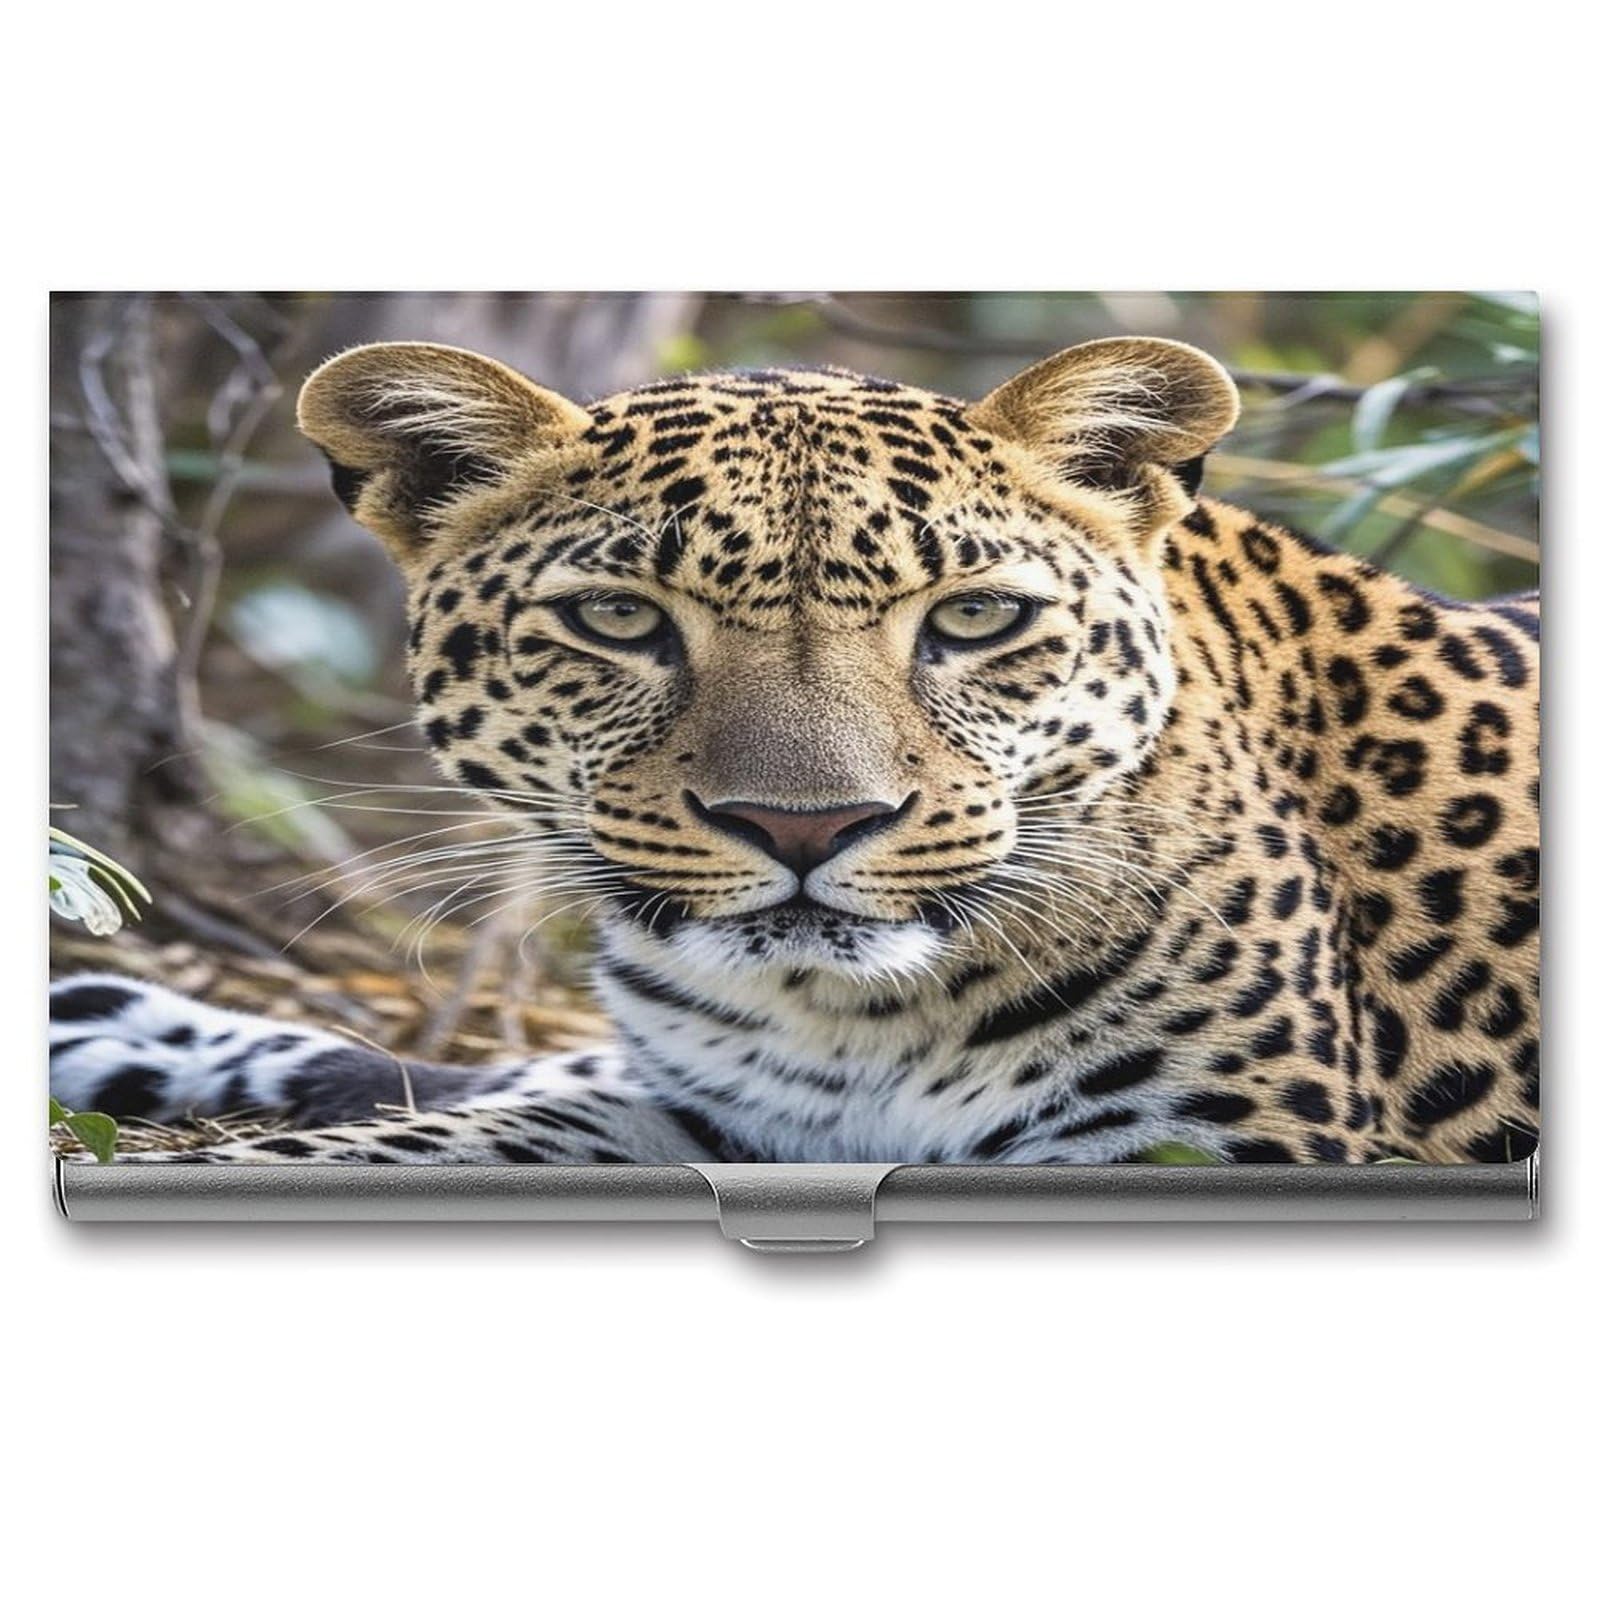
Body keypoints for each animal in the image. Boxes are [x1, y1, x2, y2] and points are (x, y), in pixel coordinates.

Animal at [50, 335, 1540, 1167]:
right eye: (617, 618)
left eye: (976, 618)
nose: (805, 830)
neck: (849, 1024)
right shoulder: (705, 1113)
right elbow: (441, 1134)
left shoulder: (1216, 1139)